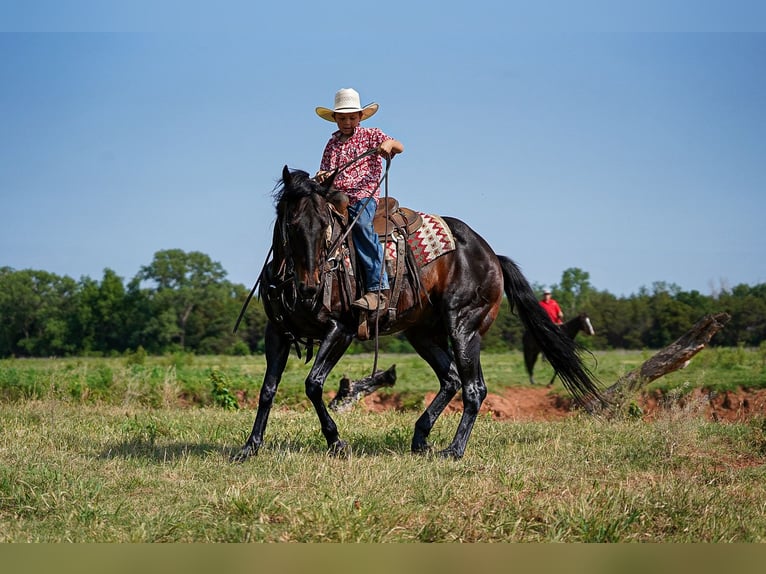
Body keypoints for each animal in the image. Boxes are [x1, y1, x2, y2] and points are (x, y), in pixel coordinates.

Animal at [234, 168, 608, 464]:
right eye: (292, 222)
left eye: (326, 223)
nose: (311, 287)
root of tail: (491, 255)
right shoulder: (276, 333)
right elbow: (268, 389)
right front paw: (250, 446)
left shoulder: (341, 330)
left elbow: (313, 384)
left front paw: (337, 442)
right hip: (424, 334)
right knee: (452, 379)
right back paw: (420, 437)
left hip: (463, 328)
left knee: (474, 388)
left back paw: (453, 450)